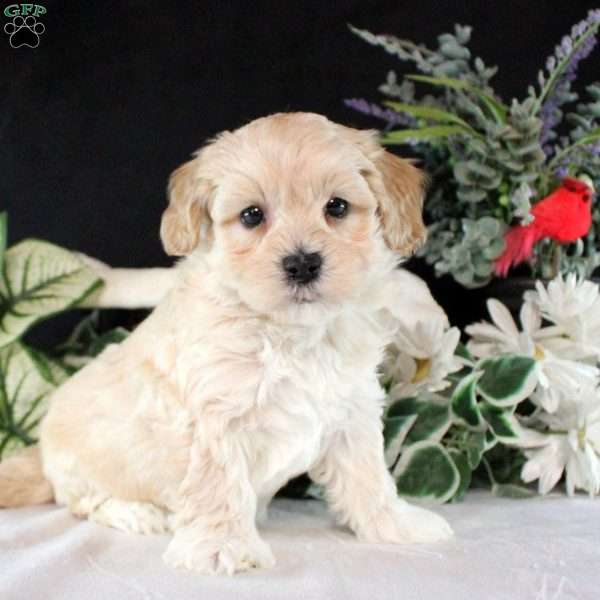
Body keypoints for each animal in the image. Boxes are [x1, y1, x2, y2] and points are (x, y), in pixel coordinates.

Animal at [0, 110, 450, 576]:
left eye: (337, 207)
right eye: (252, 215)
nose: (302, 263)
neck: (291, 332)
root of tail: (41, 453)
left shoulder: (352, 413)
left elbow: (369, 476)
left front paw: (395, 523)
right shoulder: (217, 418)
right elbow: (218, 483)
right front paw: (221, 546)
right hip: (84, 466)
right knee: (86, 502)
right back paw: (139, 513)